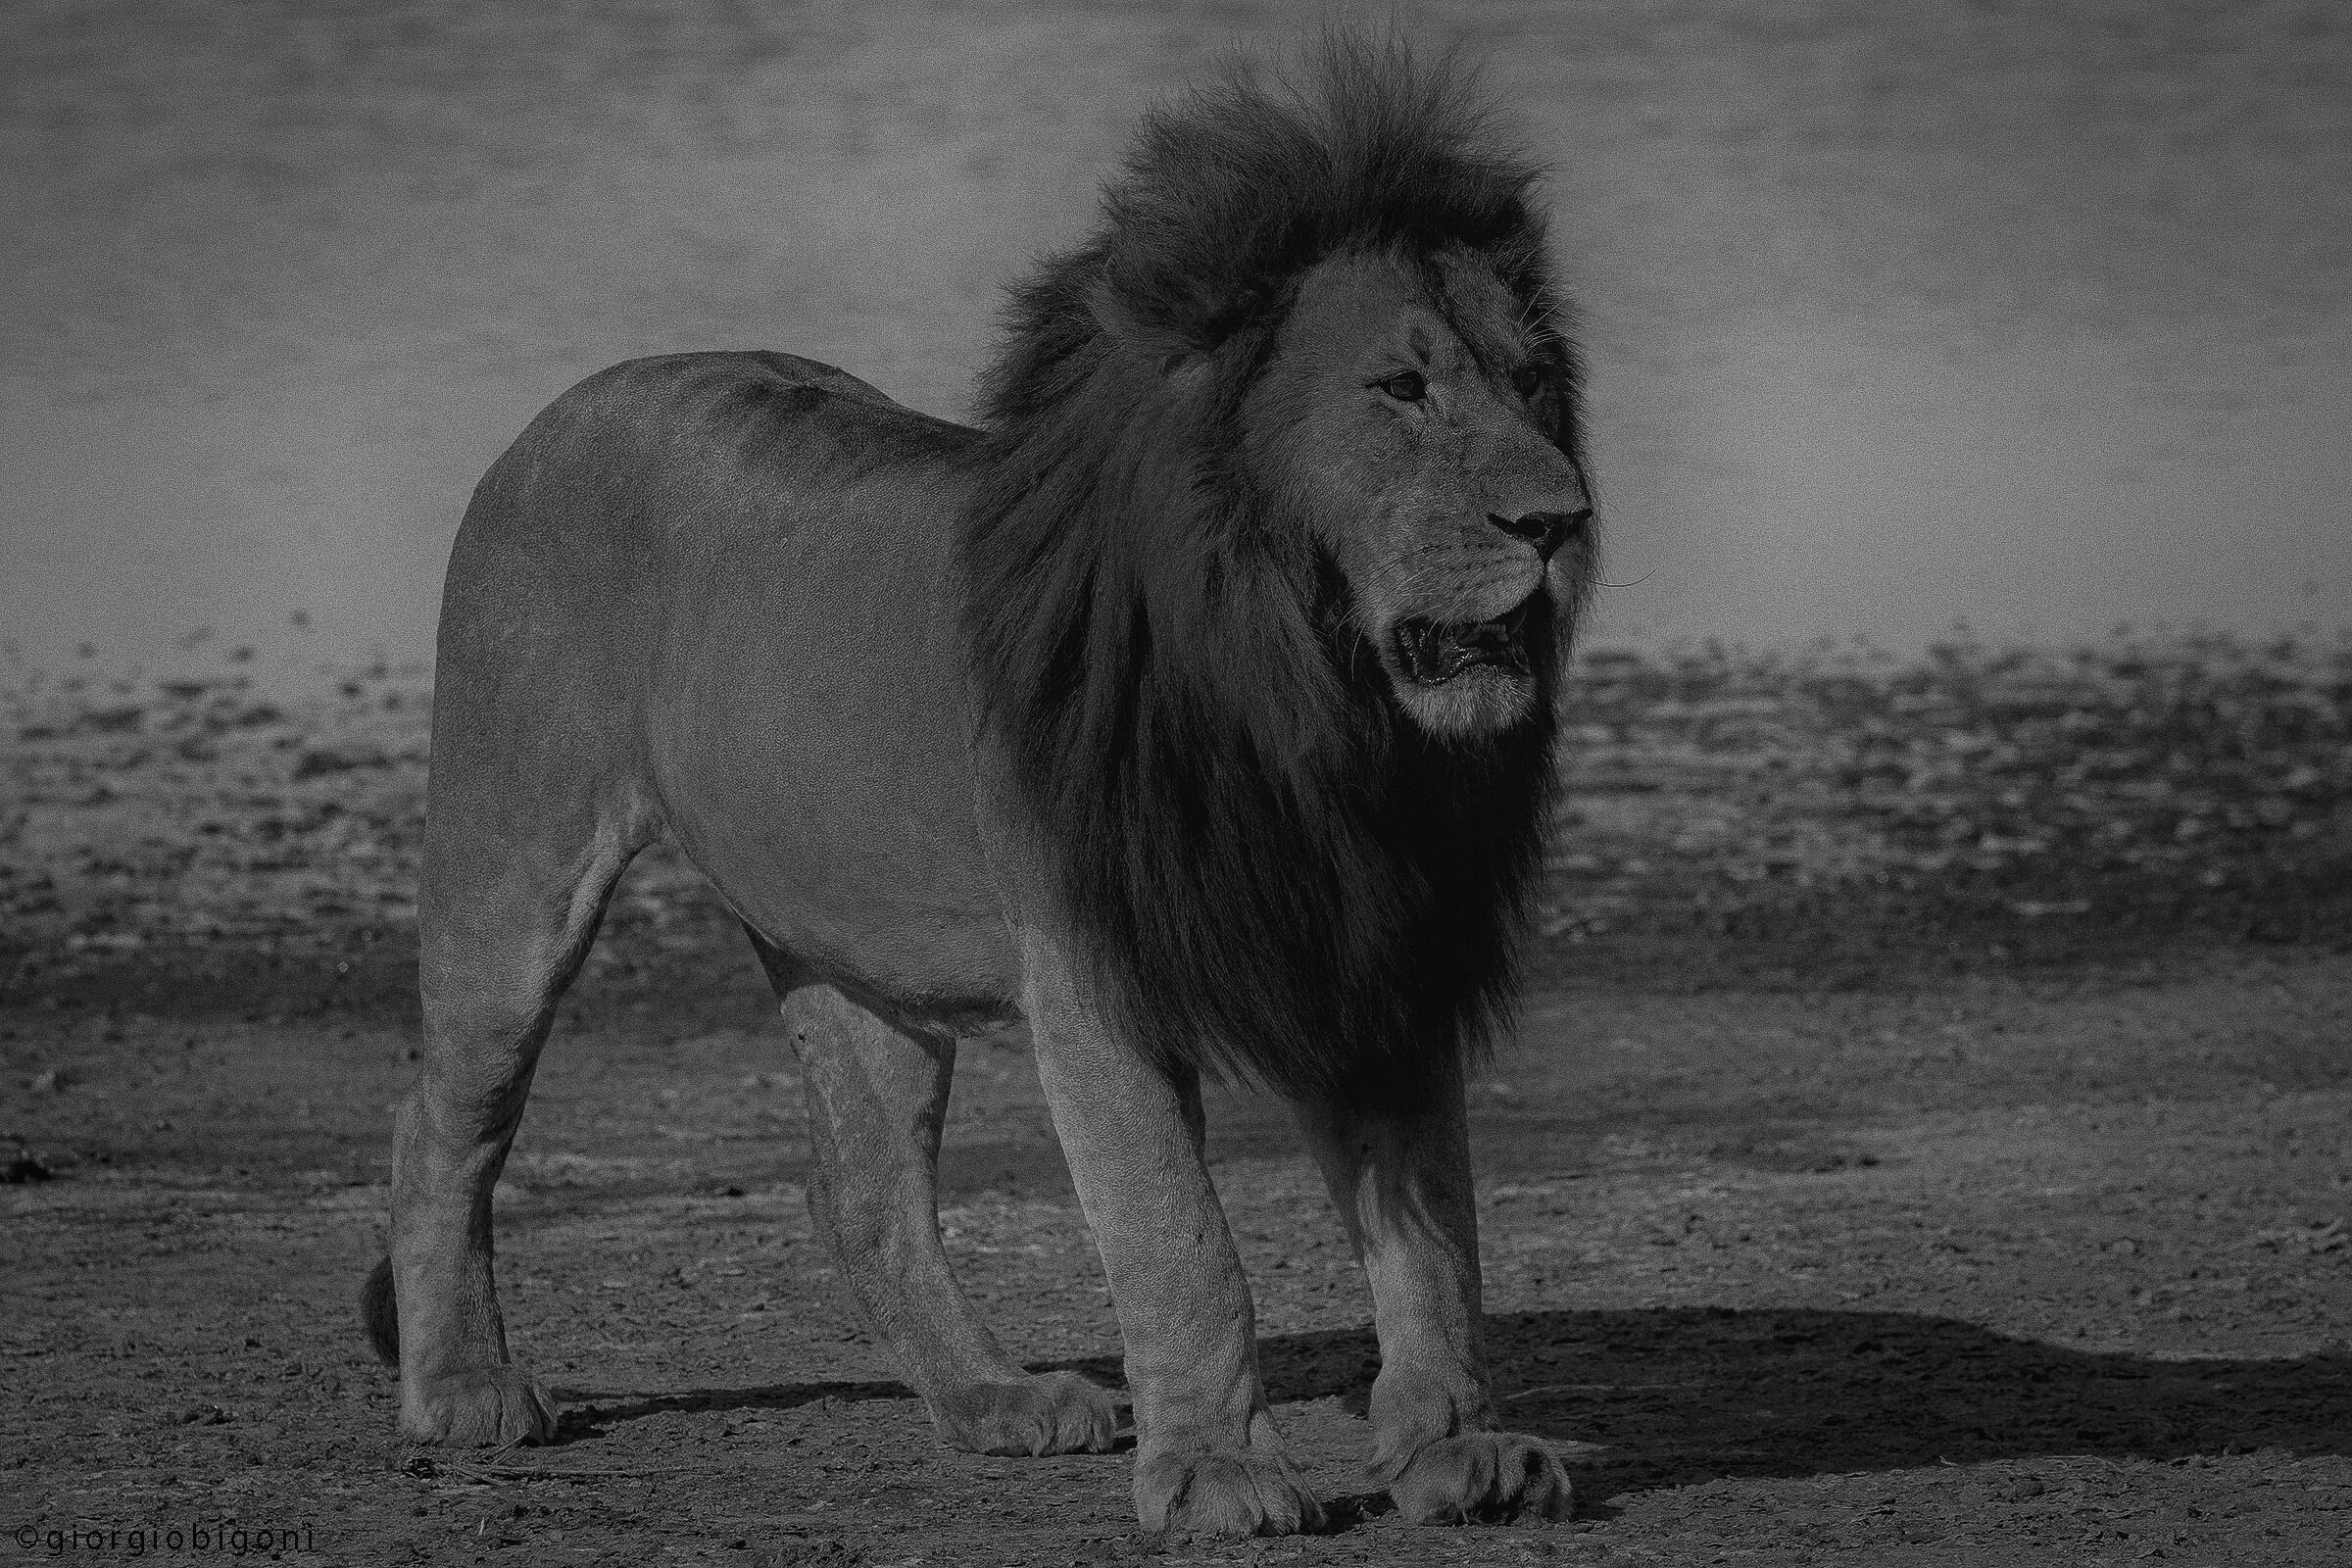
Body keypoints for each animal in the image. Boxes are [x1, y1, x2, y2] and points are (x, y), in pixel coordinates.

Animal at [360, 38, 1596, 1537]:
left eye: (1531, 380)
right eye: (1402, 390)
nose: (1562, 519)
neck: (1312, 708)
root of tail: (563, 405)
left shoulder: (1376, 948)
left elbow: (1438, 1241)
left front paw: (1456, 1450)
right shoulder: (1101, 976)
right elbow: (1184, 1244)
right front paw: (1218, 1474)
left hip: (858, 949)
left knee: (863, 1190)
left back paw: (993, 1401)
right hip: (513, 870)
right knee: (443, 1126)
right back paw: (462, 1391)